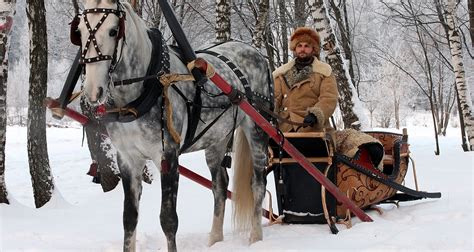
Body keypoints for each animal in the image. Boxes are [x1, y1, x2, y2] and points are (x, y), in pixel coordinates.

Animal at [74, 0, 274, 251]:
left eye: (113, 30)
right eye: (79, 31)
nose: (93, 91)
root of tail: (254, 51)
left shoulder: (168, 155)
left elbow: (168, 219)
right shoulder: (127, 158)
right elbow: (129, 218)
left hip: (257, 128)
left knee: (258, 183)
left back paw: (255, 237)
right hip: (216, 138)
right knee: (220, 185)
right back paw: (214, 239)